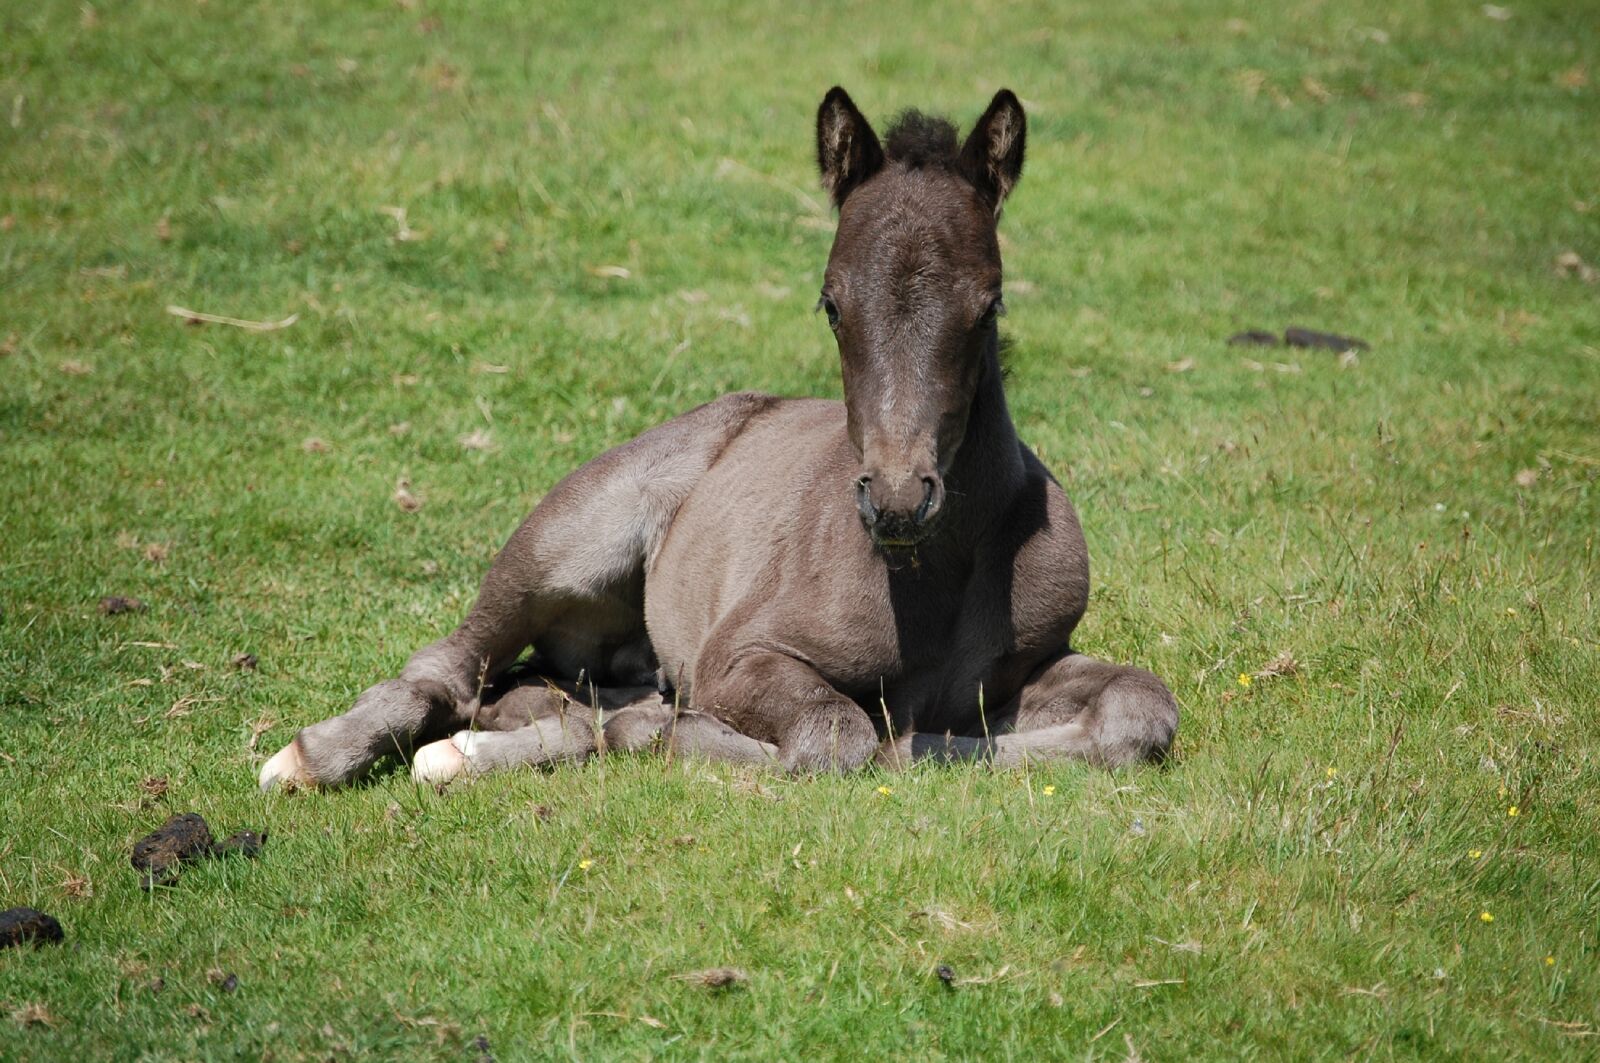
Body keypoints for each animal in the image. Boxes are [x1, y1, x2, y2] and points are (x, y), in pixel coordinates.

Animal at [258, 87, 1178, 791]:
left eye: (988, 304)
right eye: (832, 303)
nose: (897, 499)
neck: (930, 577)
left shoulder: (1026, 664)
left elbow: (1141, 708)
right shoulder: (739, 655)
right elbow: (836, 735)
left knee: (542, 693)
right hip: (570, 537)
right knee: (453, 665)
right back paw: (313, 757)